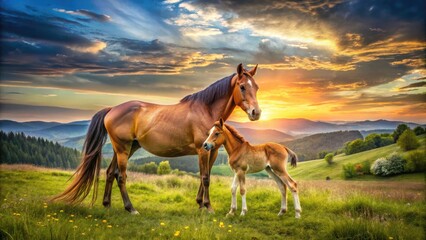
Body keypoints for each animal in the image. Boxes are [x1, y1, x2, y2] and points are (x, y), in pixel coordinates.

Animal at [51, 63, 262, 214]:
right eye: (242, 87)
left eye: (257, 87)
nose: (256, 113)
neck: (206, 109)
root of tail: (111, 109)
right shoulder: (203, 150)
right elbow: (205, 178)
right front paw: (208, 207)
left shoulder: (213, 150)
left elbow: (206, 175)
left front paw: (200, 203)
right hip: (122, 149)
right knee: (121, 176)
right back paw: (131, 208)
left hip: (126, 148)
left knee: (110, 172)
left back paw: (107, 204)